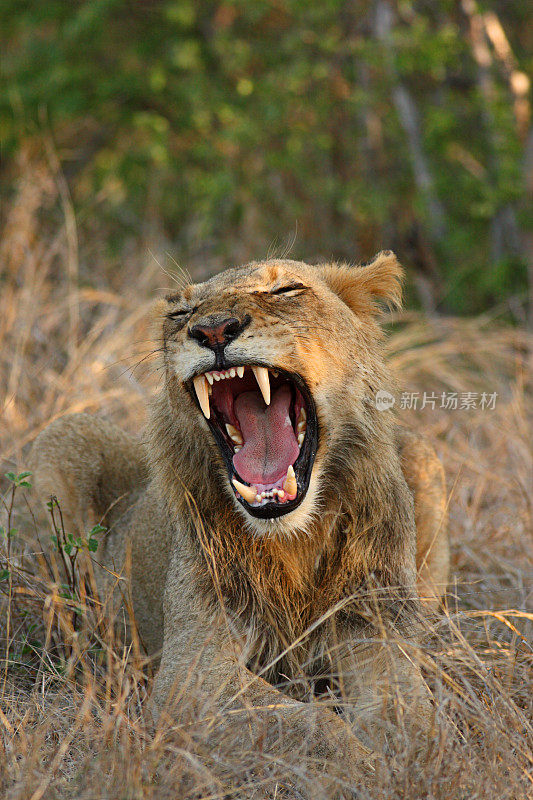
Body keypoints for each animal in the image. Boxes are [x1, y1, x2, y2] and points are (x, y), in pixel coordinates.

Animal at [31, 253, 448, 792]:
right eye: (181, 312)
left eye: (287, 290)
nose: (212, 330)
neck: (294, 541)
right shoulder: (190, 675)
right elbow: (308, 722)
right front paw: (361, 766)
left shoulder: (374, 632)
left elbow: (413, 715)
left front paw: (417, 762)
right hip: (64, 433)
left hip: (423, 454)